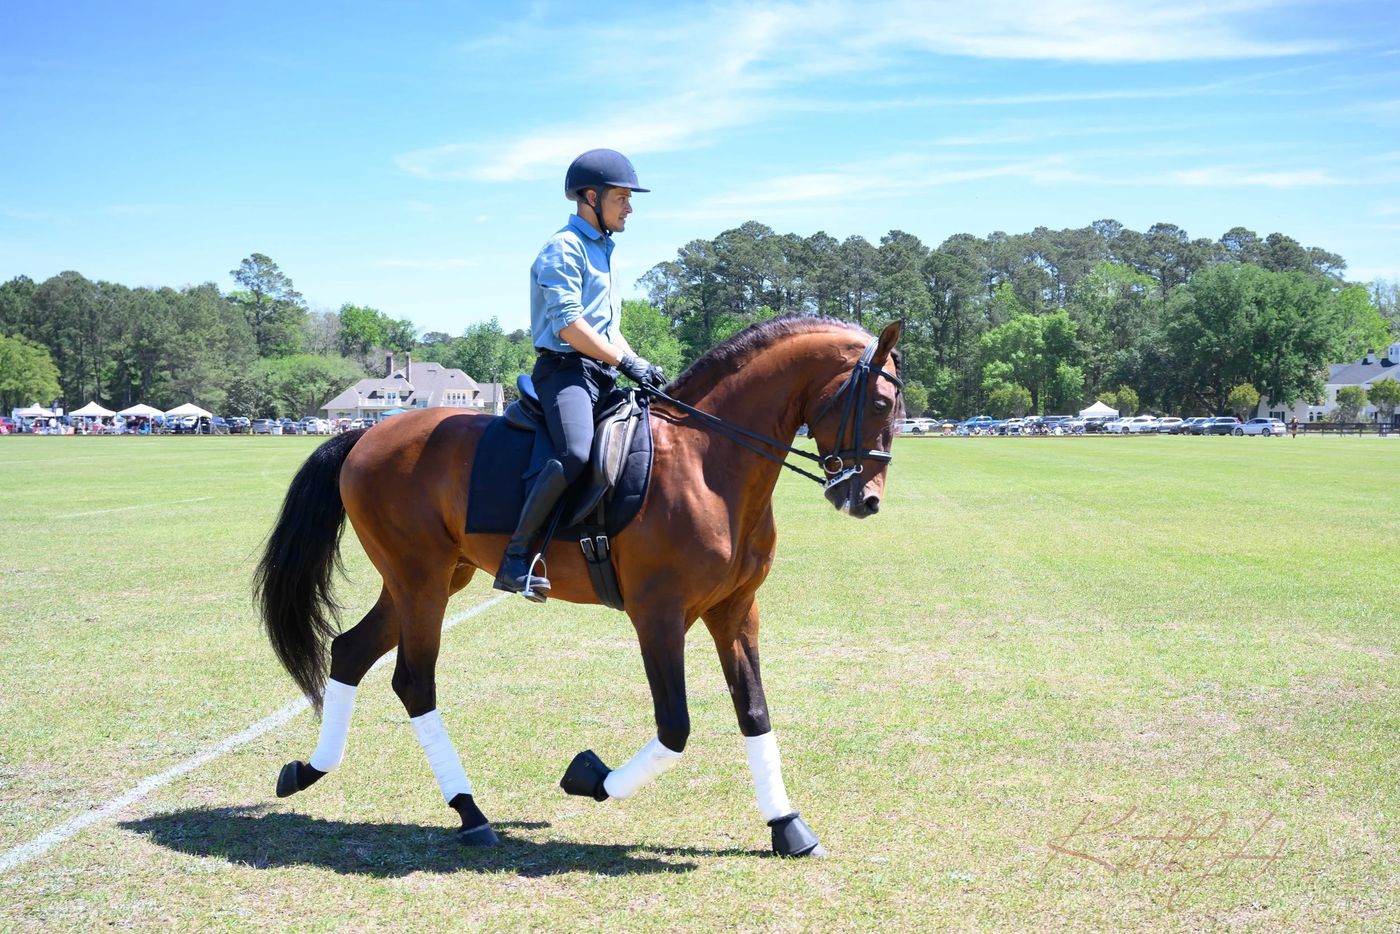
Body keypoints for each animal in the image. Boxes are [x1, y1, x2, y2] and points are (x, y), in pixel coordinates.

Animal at [255, 315, 903, 857]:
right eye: (878, 401)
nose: (866, 501)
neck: (708, 460)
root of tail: (365, 437)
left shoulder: (736, 610)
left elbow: (754, 711)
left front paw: (786, 825)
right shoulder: (658, 614)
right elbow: (675, 727)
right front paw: (588, 776)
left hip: (428, 580)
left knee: (350, 651)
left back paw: (307, 771)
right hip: (422, 584)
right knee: (413, 683)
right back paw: (470, 813)